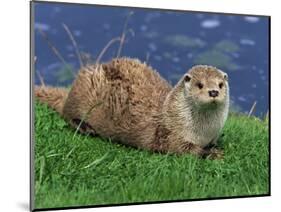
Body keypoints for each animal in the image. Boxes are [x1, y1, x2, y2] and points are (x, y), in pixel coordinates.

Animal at [34, 57, 228, 158]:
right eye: (200, 85)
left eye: (220, 84)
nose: (213, 92)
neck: (203, 132)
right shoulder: (169, 134)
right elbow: (182, 149)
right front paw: (212, 153)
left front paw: (214, 148)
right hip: (84, 89)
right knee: (67, 114)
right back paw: (85, 127)